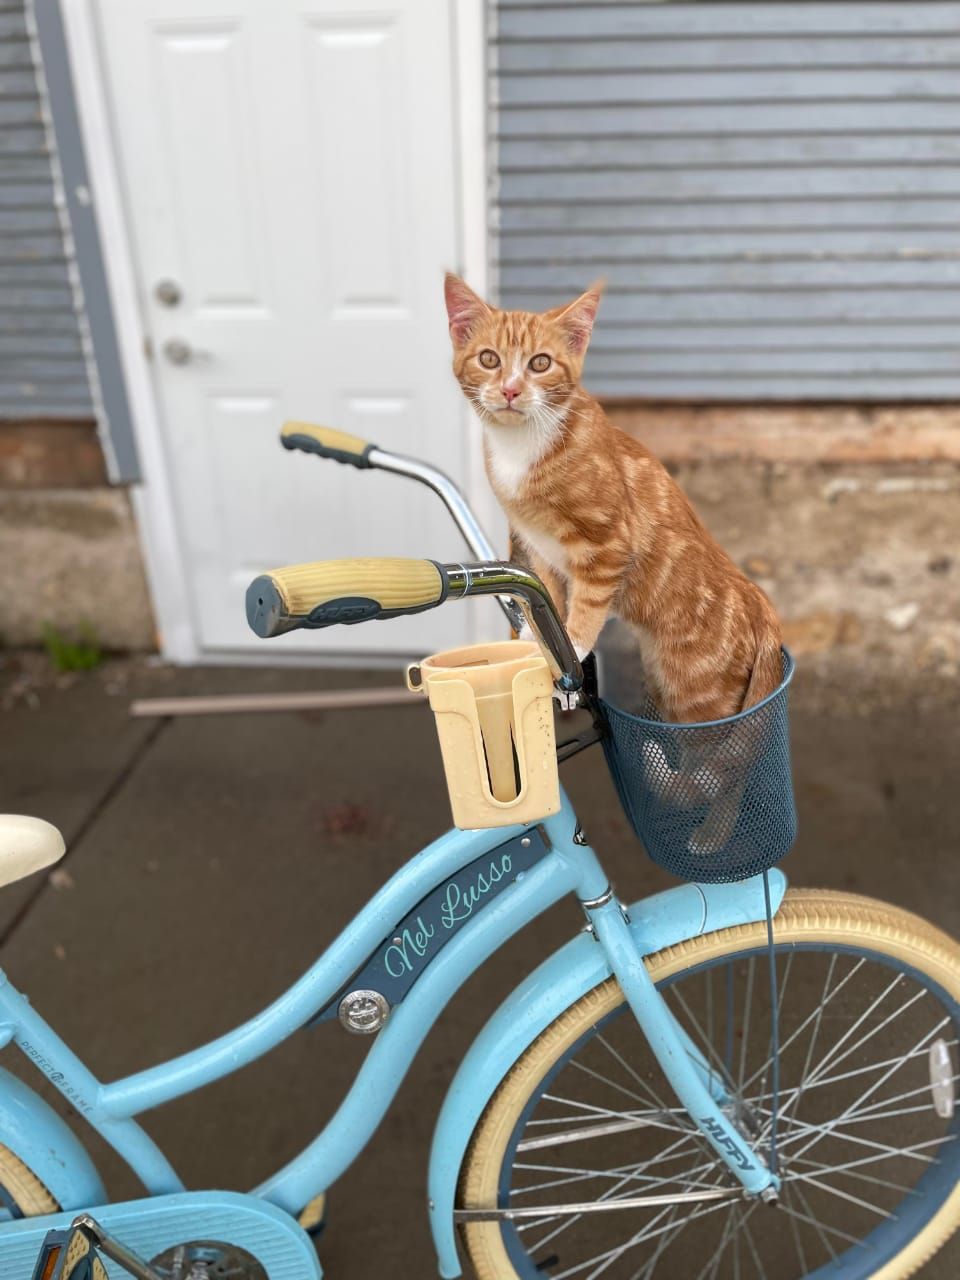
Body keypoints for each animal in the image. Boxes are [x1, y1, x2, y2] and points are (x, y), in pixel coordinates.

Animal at [448, 271, 783, 727]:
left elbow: (587, 603)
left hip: (699, 700)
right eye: (488, 359)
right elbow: (548, 599)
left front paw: (573, 645)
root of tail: (760, 602)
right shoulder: (536, 546)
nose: (511, 390)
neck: (521, 446)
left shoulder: (607, 543)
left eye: (540, 363)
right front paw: (538, 644)